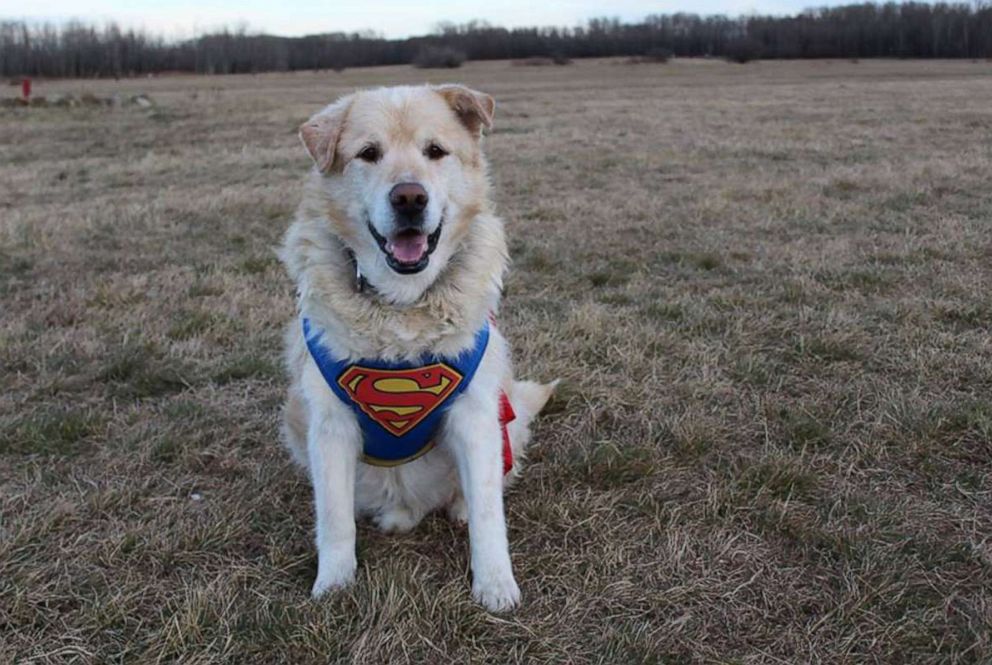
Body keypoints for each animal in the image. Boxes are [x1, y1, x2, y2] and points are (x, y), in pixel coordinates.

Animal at [280, 84, 556, 612]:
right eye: (369, 154)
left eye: (435, 151)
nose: (409, 198)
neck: (402, 306)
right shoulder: (329, 428)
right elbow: (334, 518)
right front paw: (334, 584)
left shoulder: (475, 415)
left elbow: (490, 512)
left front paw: (495, 584)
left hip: (506, 417)